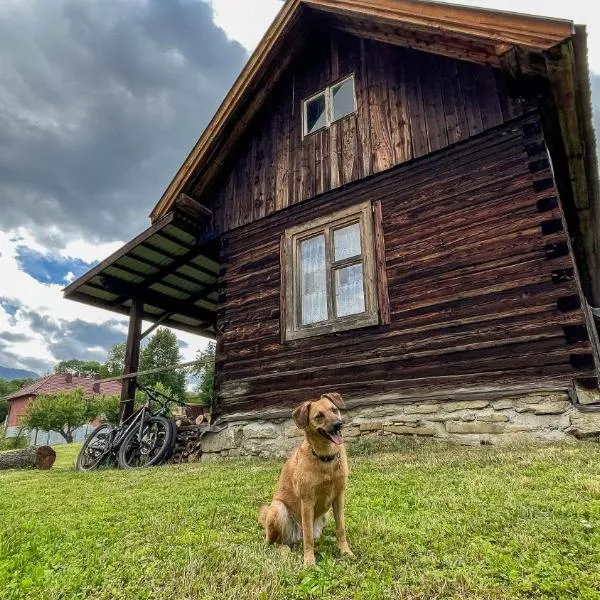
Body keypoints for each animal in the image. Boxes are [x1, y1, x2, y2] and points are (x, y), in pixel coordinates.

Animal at [258, 392, 352, 564]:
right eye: (319, 416)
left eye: (334, 409)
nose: (338, 424)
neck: (325, 458)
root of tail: (296, 536)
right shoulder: (307, 501)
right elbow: (307, 537)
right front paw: (309, 561)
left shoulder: (339, 497)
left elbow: (341, 529)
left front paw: (345, 551)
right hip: (278, 509)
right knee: (276, 542)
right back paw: (284, 550)